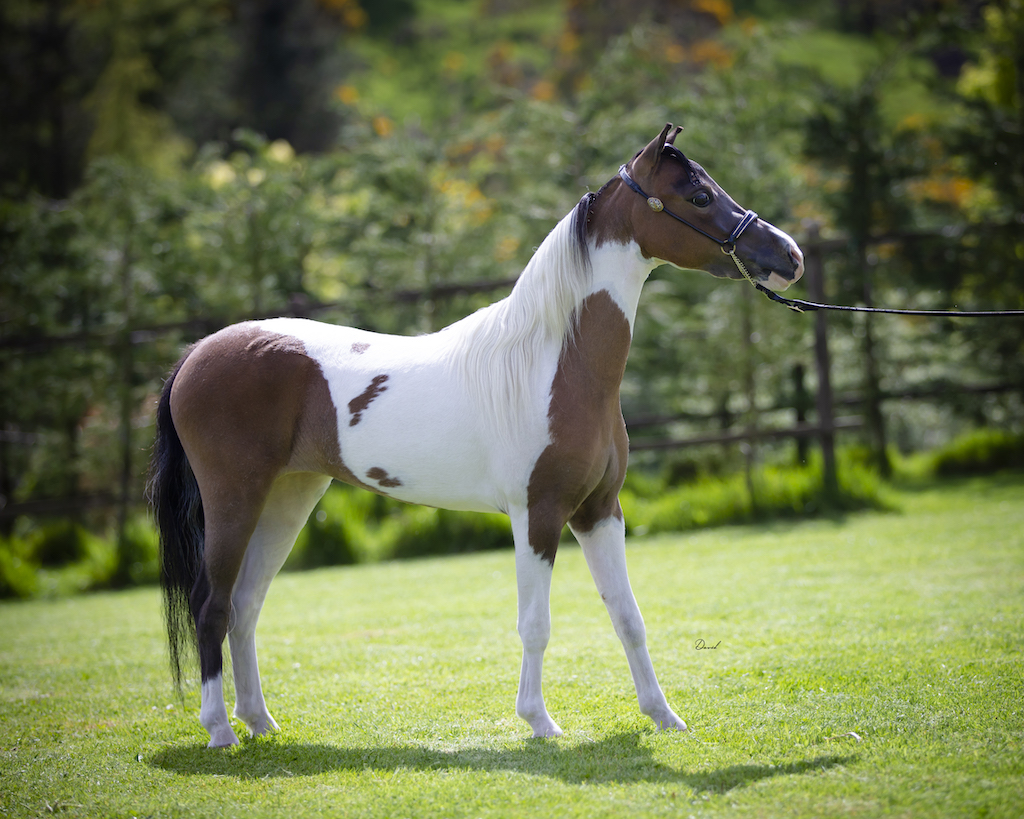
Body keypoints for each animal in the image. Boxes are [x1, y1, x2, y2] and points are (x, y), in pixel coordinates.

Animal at [149, 124, 804, 747]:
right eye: (699, 195)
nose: (789, 254)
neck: (551, 362)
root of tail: (195, 355)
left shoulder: (600, 511)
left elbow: (628, 616)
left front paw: (663, 716)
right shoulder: (538, 514)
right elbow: (535, 623)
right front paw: (540, 722)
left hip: (289, 498)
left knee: (244, 605)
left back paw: (260, 722)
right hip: (235, 498)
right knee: (211, 606)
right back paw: (220, 730)